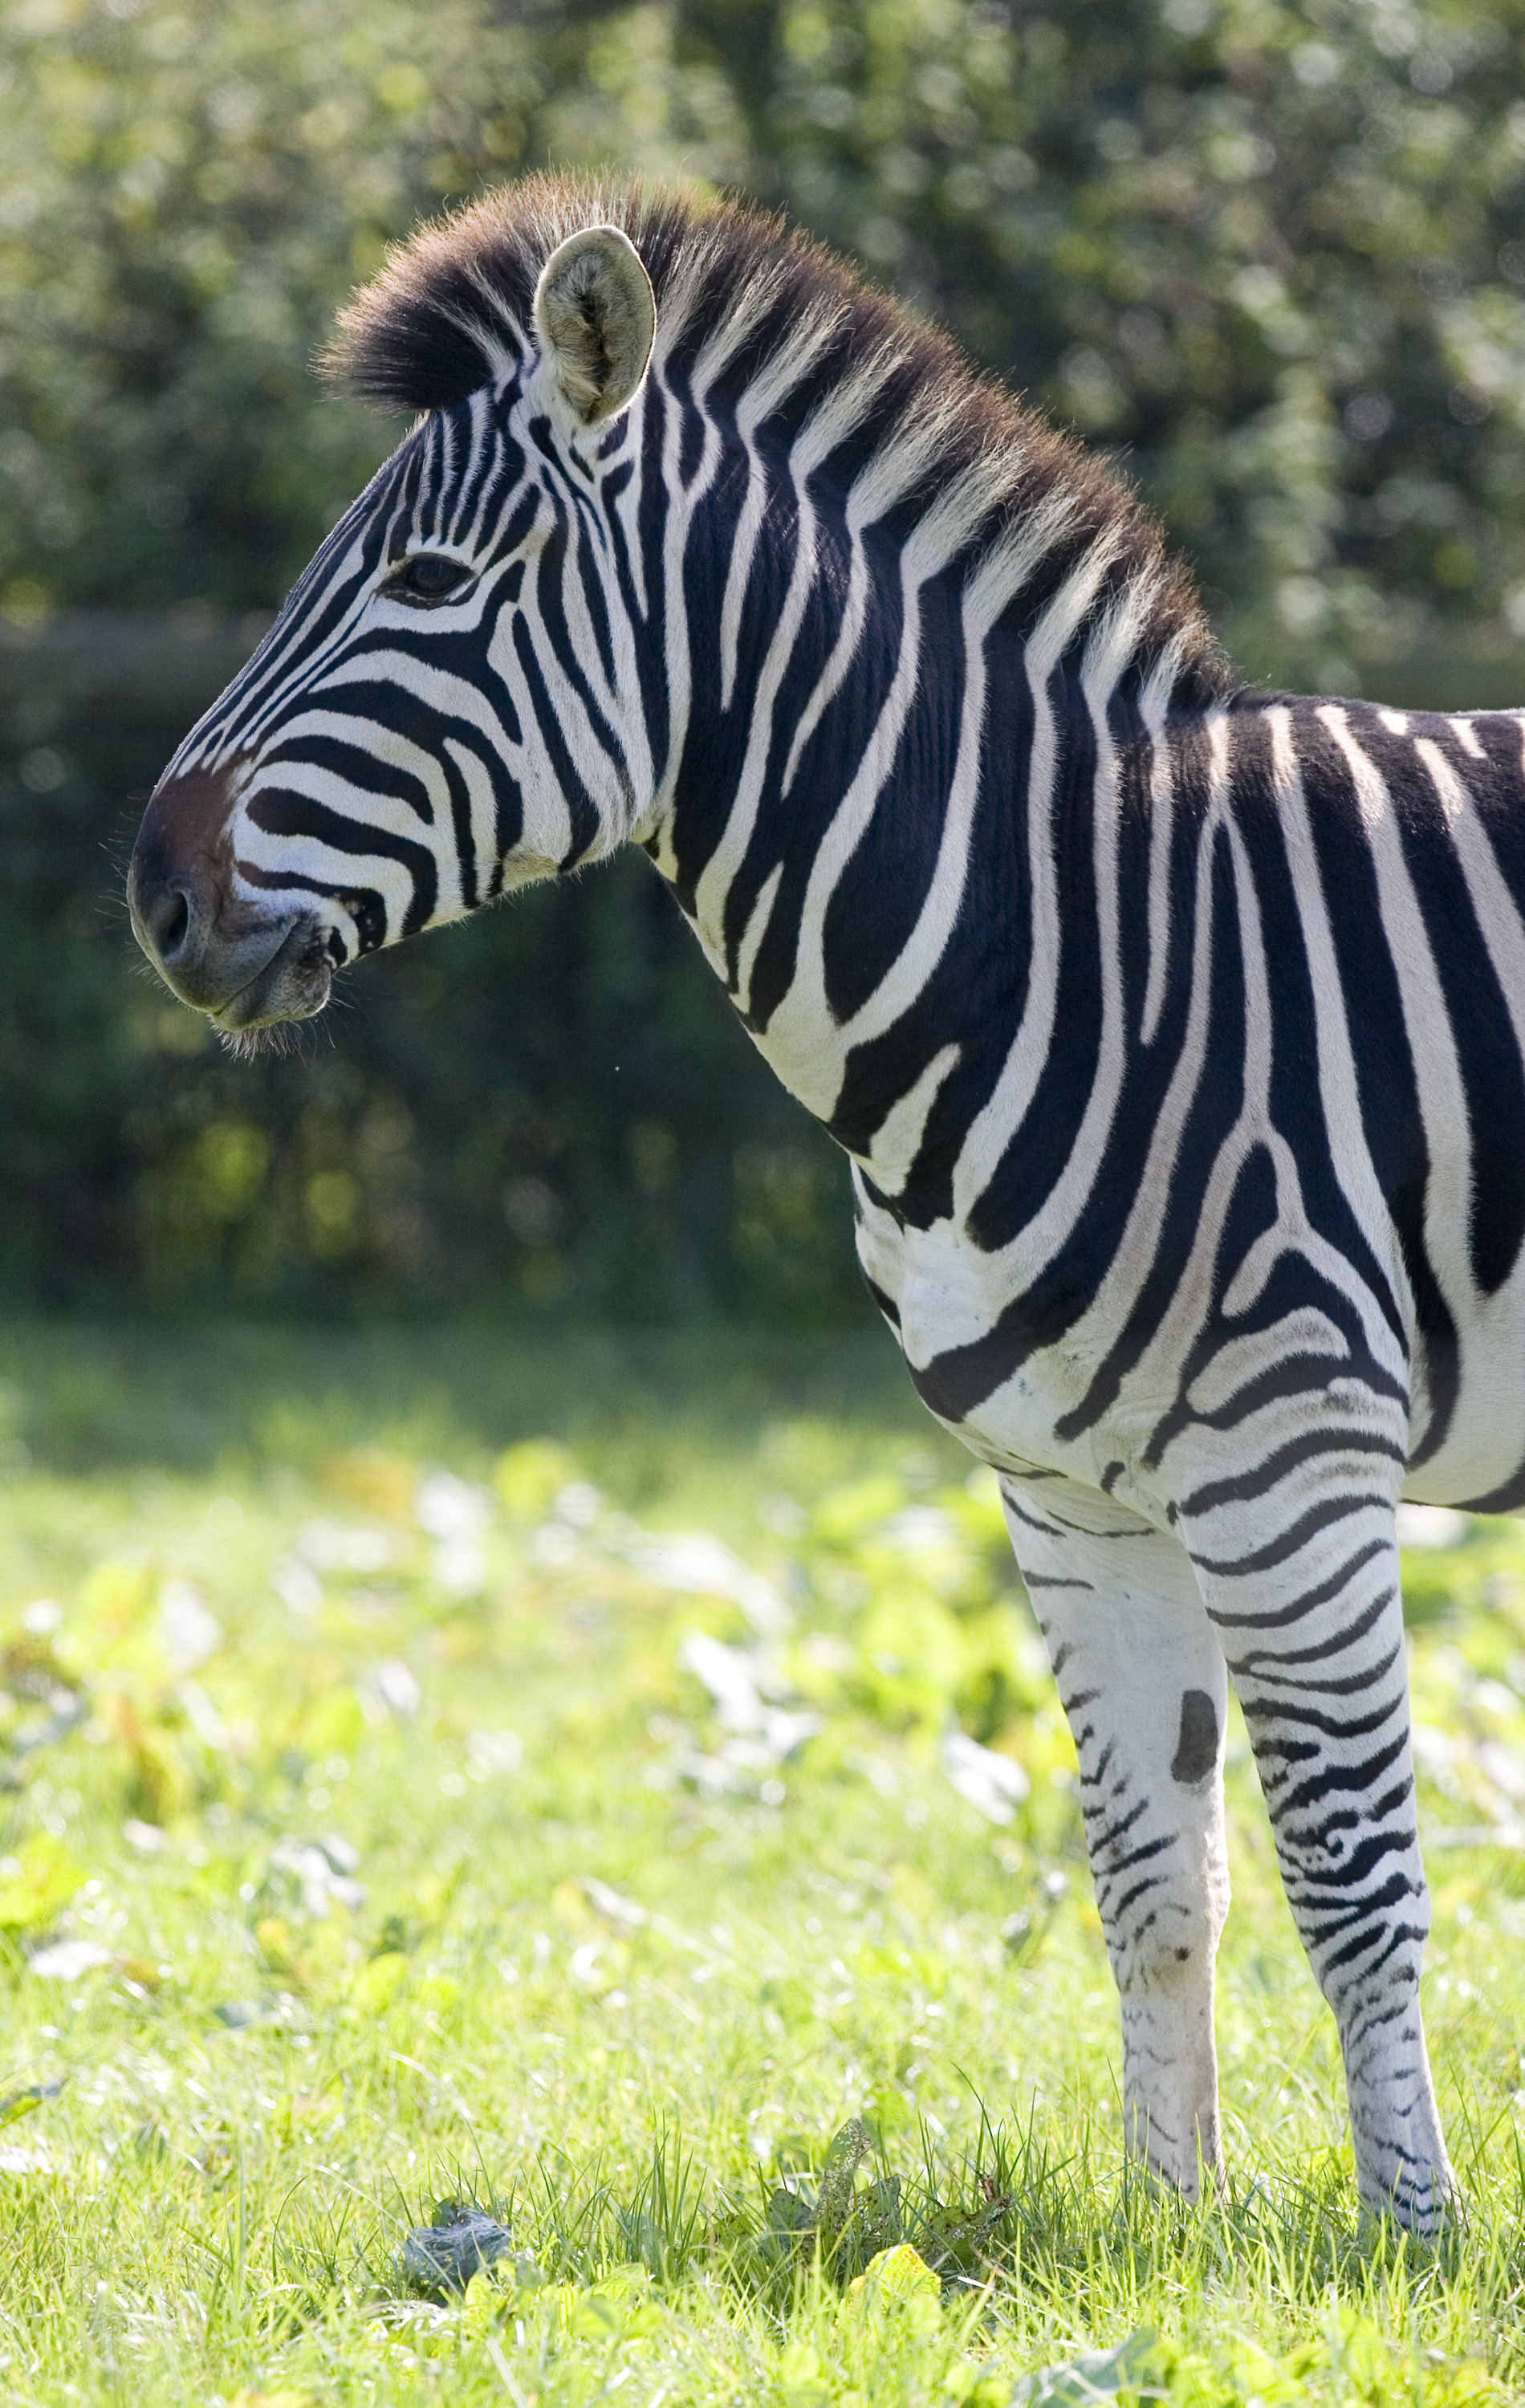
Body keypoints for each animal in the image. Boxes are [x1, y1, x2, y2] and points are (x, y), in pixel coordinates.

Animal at [128, 174, 1512, 2235]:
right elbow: (1147, 1876)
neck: (1071, 935)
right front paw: (1174, 2238)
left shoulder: (1287, 1458)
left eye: (431, 590)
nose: (155, 901)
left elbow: (1346, 1873)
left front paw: (1408, 2245)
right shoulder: (1069, 1490)